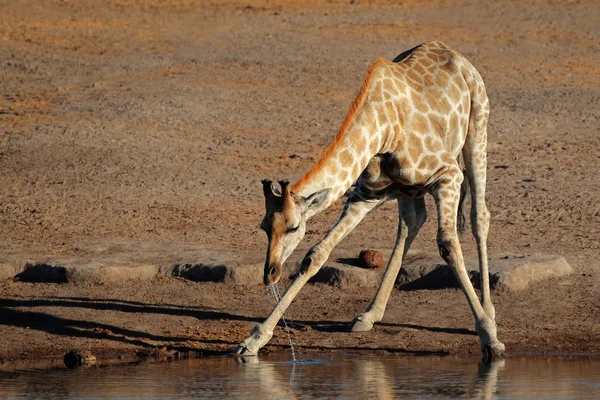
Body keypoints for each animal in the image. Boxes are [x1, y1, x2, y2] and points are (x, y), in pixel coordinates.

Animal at [237, 41, 504, 362]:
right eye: (264, 226)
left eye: (293, 227)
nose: (270, 273)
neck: (384, 130)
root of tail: (455, 55)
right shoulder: (364, 195)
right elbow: (316, 254)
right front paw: (253, 340)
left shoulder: (447, 175)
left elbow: (448, 246)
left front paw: (489, 337)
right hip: (406, 190)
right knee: (411, 223)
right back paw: (369, 314)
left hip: (477, 132)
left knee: (479, 216)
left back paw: (489, 311)